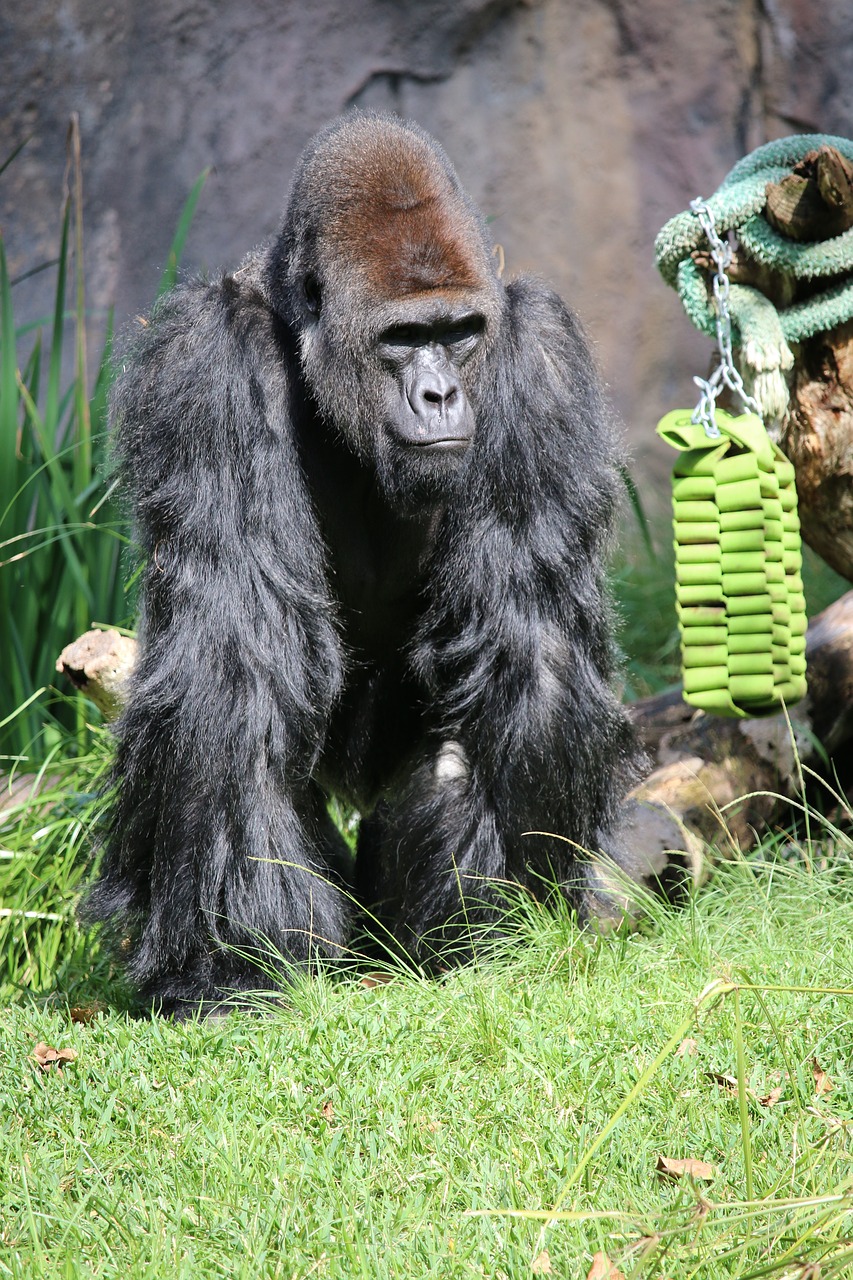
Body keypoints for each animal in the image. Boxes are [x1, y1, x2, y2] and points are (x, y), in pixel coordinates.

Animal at [87, 112, 645, 1008]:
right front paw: (225, 960)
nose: (440, 396)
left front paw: (529, 918)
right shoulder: (203, 359)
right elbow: (232, 662)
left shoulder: (542, 353)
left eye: (459, 334)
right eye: (402, 338)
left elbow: (532, 641)